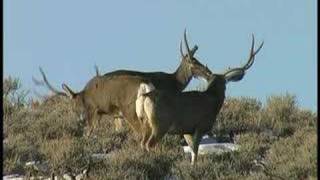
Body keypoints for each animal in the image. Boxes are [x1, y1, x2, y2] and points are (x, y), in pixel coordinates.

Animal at [136, 35, 264, 165]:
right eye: (225, 83)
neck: (212, 101)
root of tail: (145, 96)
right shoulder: (200, 126)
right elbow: (195, 152)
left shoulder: (187, 130)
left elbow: (193, 152)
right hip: (160, 123)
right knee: (149, 144)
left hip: (145, 123)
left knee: (142, 143)